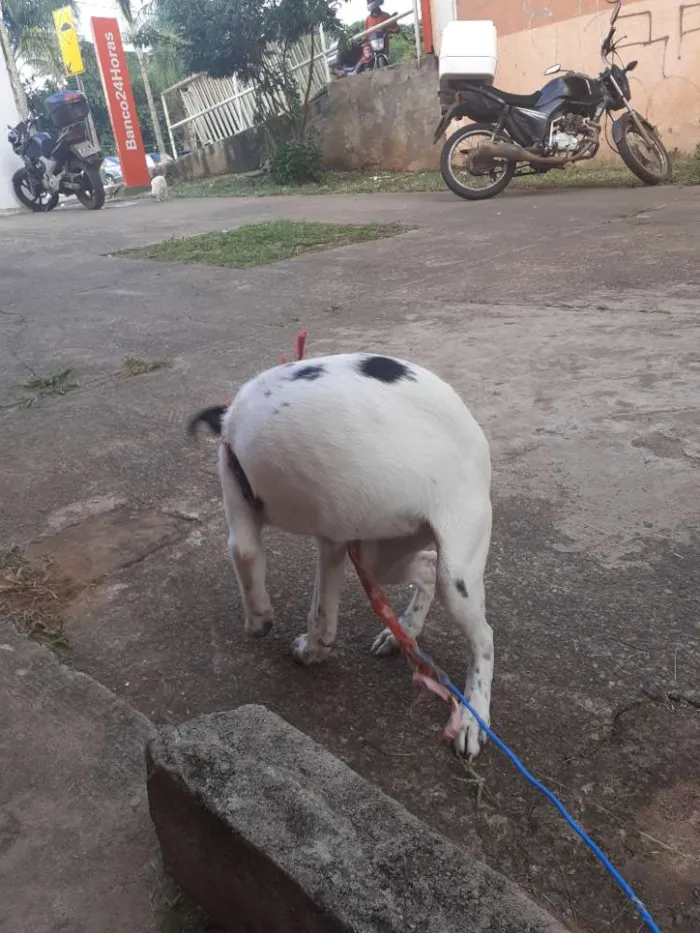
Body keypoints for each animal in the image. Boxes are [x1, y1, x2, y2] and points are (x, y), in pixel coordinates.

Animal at [186, 354, 492, 760]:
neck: (230, 421)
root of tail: (480, 444)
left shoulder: (241, 520)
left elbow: (249, 568)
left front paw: (259, 623)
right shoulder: (333, 539)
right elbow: (323, 617)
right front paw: (313, 652)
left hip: (455, 572)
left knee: (484, 638)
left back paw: (475, 717)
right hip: (384, 553)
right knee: (427, 568)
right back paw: (402, 632)